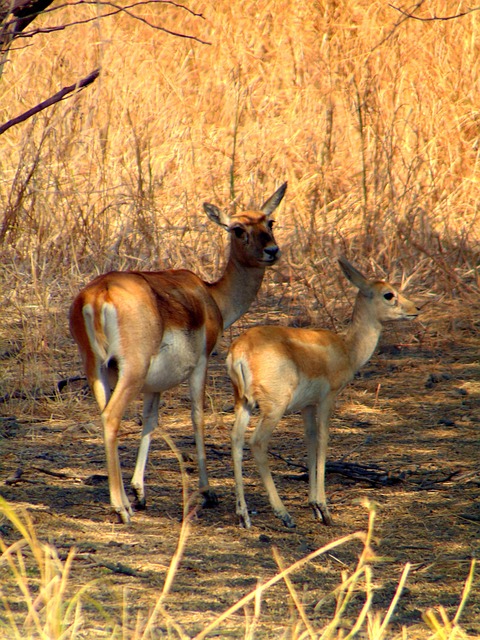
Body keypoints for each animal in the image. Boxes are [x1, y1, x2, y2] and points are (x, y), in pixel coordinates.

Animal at [69, 182, 287, 524]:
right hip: (130, 372)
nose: (272, 251)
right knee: (111, 418)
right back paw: (121, 509)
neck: (210, 296)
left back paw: (126, 502)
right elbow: (198, 416)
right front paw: (208, 492)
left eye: (270, 222)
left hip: (97, 370)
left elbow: (150, 420)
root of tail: (98, 294)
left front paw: (140, 491)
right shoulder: (201, 364)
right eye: (238, 229)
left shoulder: (154, 384)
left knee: (106, 416)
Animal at [226, 256, 420, 529]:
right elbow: (323, 438)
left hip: (243, 403)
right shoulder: (328, 399)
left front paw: (314, 506)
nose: (416, 309)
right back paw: (283, 514)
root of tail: (240, 350)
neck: (347, 349)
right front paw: (324, 508)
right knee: (257, 442)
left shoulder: (307, 406)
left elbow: (310, 439)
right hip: (273, 408)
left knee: (235, 439)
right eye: (388, 294)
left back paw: (243, 515)